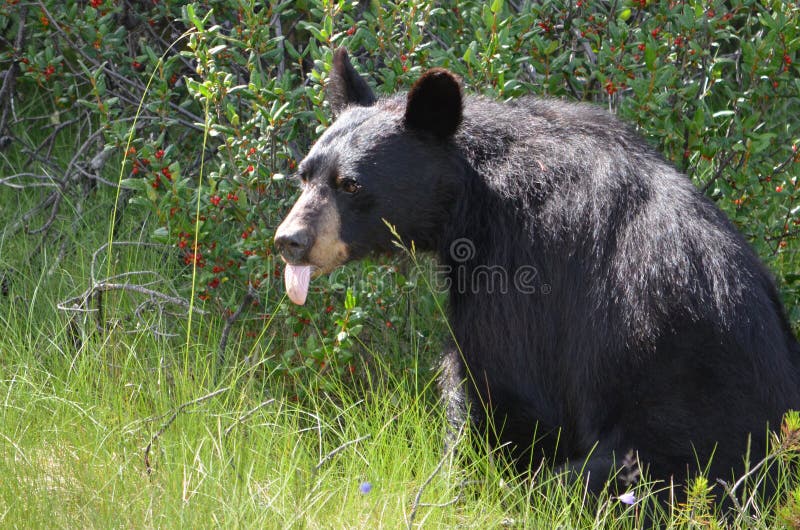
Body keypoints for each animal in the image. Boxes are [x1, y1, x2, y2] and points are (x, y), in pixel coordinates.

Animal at [276, 48, 800, 496]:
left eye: (350, 185)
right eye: (304, 174)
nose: (290, 241)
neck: (474, 195)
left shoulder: (522, 266)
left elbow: (497, 383)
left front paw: (457, 481)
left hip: (678, 449)